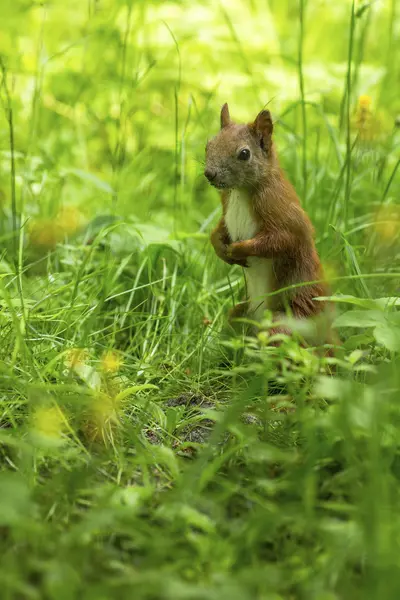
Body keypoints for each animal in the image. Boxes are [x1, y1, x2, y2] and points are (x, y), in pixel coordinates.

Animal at [205, 102, 336, 346]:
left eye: (244, 154)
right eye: (209, 144)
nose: (209, 173)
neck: (240, 191)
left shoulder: (282, 212)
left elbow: (281, 240)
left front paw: (238, 249)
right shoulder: (227, 208)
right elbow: (219, 230)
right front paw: (220, 248)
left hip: (286, 325)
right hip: (240, 315)